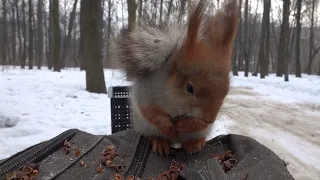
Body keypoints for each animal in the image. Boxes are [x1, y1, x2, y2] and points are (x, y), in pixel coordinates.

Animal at [110, 0, 238, 155]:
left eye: (227, 91)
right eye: (189, 88)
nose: (210, 119)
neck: (177, 103)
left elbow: (197, 124)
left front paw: (186, 125)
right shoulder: (147, 90)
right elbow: (149, 110)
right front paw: (166, 124)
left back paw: (195, 142)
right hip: (146, 127)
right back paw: (160, 141)